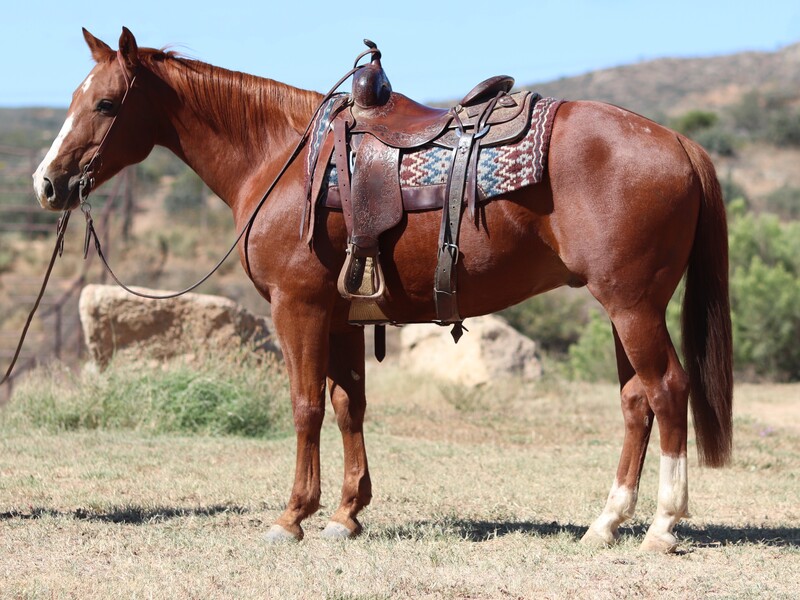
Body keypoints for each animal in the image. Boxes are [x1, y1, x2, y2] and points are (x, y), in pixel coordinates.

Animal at [32, 29, 732, 552]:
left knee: (668, 390)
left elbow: (305, 407)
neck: (282, 158)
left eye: (105, 105)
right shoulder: (341, 315)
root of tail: (680, 143)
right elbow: (349, 407)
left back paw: (664, 527)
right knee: (637, 401)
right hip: (622, 309)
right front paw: (346, 514)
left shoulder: (298, 308)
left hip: (633, 305)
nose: (47, 183)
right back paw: (606, 523)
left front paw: (292, 516)